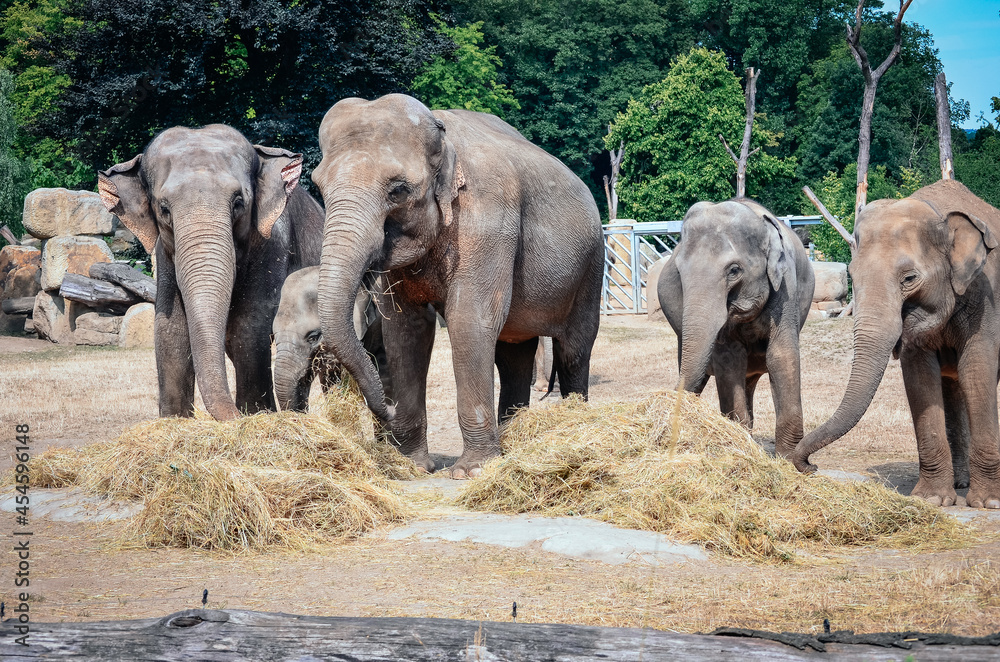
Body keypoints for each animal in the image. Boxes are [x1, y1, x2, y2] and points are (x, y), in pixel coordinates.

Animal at [97, 124, 323, 420]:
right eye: (164, 209)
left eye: (238, 203)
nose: (236, 416)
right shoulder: (165, 254)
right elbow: (171, 328)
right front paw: (174, 420)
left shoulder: (274, 241)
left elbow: (251, 324)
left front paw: (255, 415)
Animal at [311, 93, 604, 477]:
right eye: (319, 187)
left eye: (398, 191)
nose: (387, 413)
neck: (442, 133)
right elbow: (406, 329)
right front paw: (414, 465)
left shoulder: (489, 220)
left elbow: (469, 321)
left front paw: (472, 471)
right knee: (513, 355)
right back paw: (511, 435)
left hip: (592, 265)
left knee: (574, 350)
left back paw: (571, 420)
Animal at [658, 198, 815, 457]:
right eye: (678, 273)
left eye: (734, 270)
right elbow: (729, 360)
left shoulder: (786, 289)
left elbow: (782, 356)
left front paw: (789, 459)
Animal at [791, 179, 1000, 509]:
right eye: (851, 275)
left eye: (910, 278)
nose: (811, 466)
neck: (936, 211)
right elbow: (920, 376)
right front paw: (933, 500)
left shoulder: (986, 296)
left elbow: (978, 371)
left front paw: (988, 503)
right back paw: (960, 482)